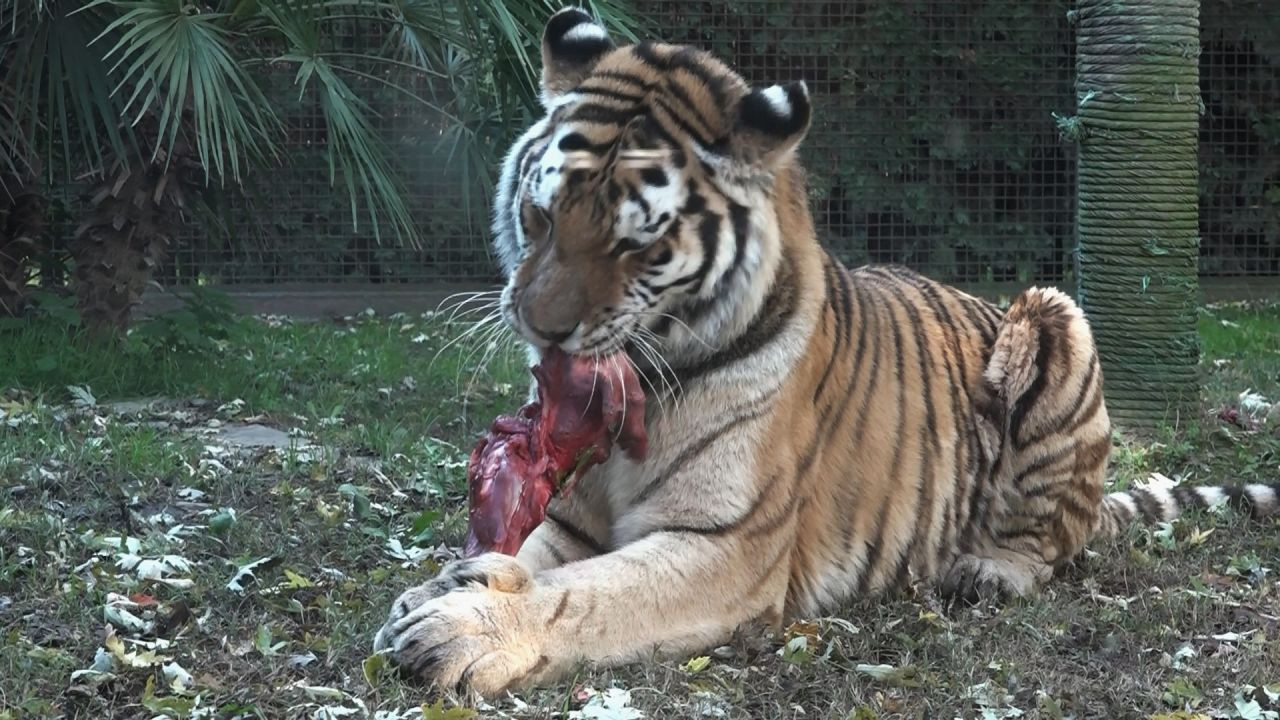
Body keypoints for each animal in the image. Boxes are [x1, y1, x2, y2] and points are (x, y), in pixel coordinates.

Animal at [373, 7, 1280, 696]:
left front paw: (465, 627)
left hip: (1056, 317)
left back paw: (988, 570)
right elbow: (527, 556)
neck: (651, 383)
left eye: (638, 245)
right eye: (540, 216)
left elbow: (585, 598)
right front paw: (440, 587)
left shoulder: (725, 547)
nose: (539, 327)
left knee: (1056, 541)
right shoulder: (571, 516)